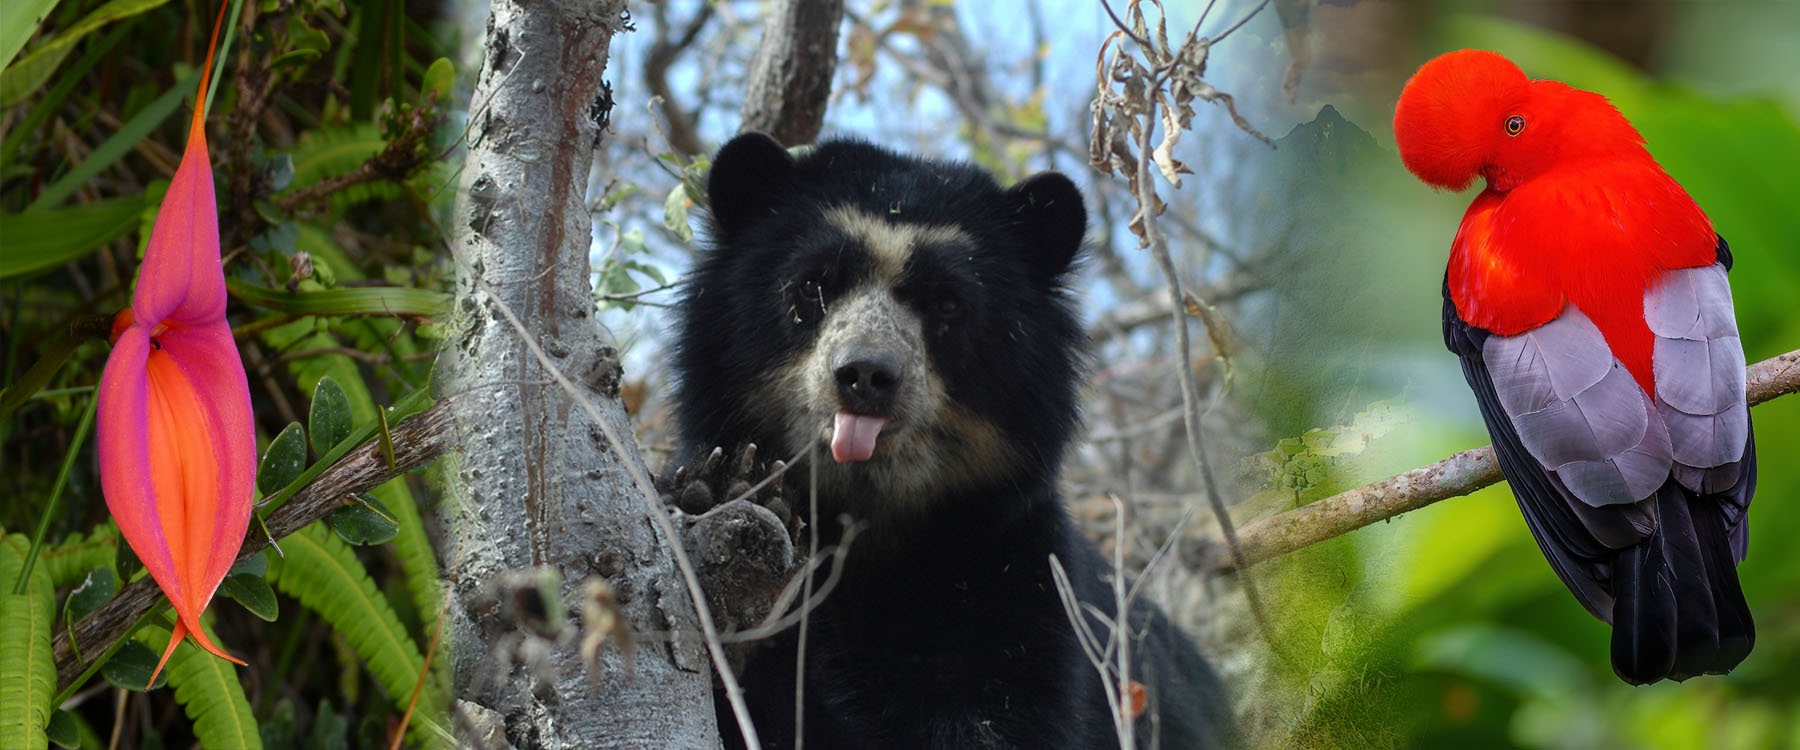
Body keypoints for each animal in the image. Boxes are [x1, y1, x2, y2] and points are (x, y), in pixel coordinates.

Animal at [669, 134, 1231, 748]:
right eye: (813, 285)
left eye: (946, 303)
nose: (866, 375)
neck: (872, 521)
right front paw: (726, 494)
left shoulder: (1007, 571)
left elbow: (998, 720)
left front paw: (753, 608)